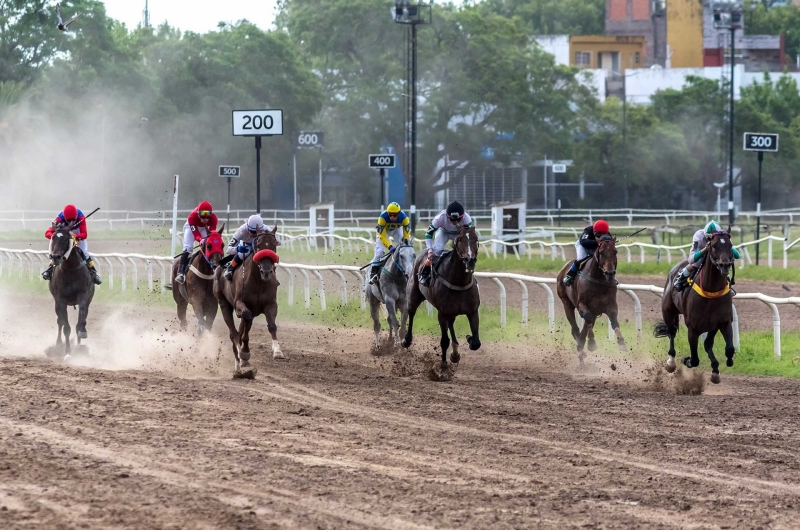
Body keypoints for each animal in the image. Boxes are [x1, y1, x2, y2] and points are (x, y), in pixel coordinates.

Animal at [47, 221, 95, 356]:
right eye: (53, 238)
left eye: (65, 239)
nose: (55, 257)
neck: (70, 269)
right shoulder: (61, 300)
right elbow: (66, 327)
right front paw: (67, 351)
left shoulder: (83, 296)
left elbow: (81, 321)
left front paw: (81, 336)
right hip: (56, 302)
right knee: (59, 321)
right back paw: (58, 343)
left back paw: (79, 344)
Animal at [212, 225, 282, 378]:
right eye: (258, 245)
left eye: (273, 245)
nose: (266, 271)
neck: (259, 281)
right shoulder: (240, 303)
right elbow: (245, 322)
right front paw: (244, 353)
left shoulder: (271, 304)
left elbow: (272, 326)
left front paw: (277, 350)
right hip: (224, 304)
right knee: (234, 332)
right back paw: (239, 361)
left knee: (242, 327)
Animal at [404, 225, 478, 378]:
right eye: (460, 239)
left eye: (476, 239)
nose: (470, 260)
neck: (459, 282)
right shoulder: (442, 313)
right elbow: (444, 341)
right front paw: (443, 369)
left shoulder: (473, 311)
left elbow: (476, 342)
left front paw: (468, 339)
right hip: (414, 294)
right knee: (411, 312)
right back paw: (407, 340)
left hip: (453, 312)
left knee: (451, 324)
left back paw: (455, 353)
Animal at [652, 229, 736, 382]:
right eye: (714, 246)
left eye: (730, 245)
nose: (725, 265)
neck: (711, 291)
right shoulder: (693, 328)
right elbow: (695, 359)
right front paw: (687, 360)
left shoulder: (724, 322)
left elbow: (729, 349)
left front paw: (721, 366)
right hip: (668, 312)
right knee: (671, 332)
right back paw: (671, 363)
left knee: (707, 343)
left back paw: (715, 368)